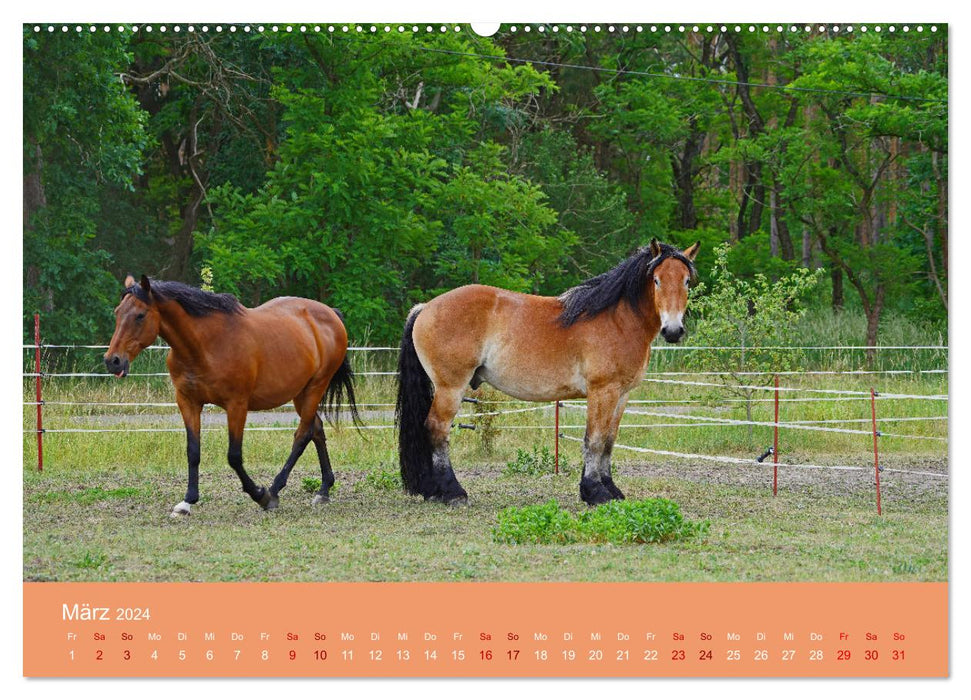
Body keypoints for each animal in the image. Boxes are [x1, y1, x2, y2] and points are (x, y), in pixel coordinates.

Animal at [104, 276, 360, 516]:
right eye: (117, 313)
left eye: (140, 315)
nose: (112, 360)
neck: (205, 346)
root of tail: (331, 314)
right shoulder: (188, 402)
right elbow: (193, 451)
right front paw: (187, 501)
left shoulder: (237, 405)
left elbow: (234, 456)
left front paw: (259, 495)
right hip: (301, 392)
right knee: (316, 429)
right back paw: (324, 490)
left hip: (316, 387)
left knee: (302, 435)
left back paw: (274, 490)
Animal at [394, 238, 700, 506]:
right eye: (657, 280)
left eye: (686, 281)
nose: (673, 330)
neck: (618, 320)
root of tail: (425, 308)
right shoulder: (603, 391)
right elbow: (594, 440)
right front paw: (594, 492)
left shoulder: (621, 395)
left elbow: (609, 442)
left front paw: (611, 489)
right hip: (451, 388)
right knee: (437, 429)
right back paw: (453, 492)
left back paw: (434, 491)